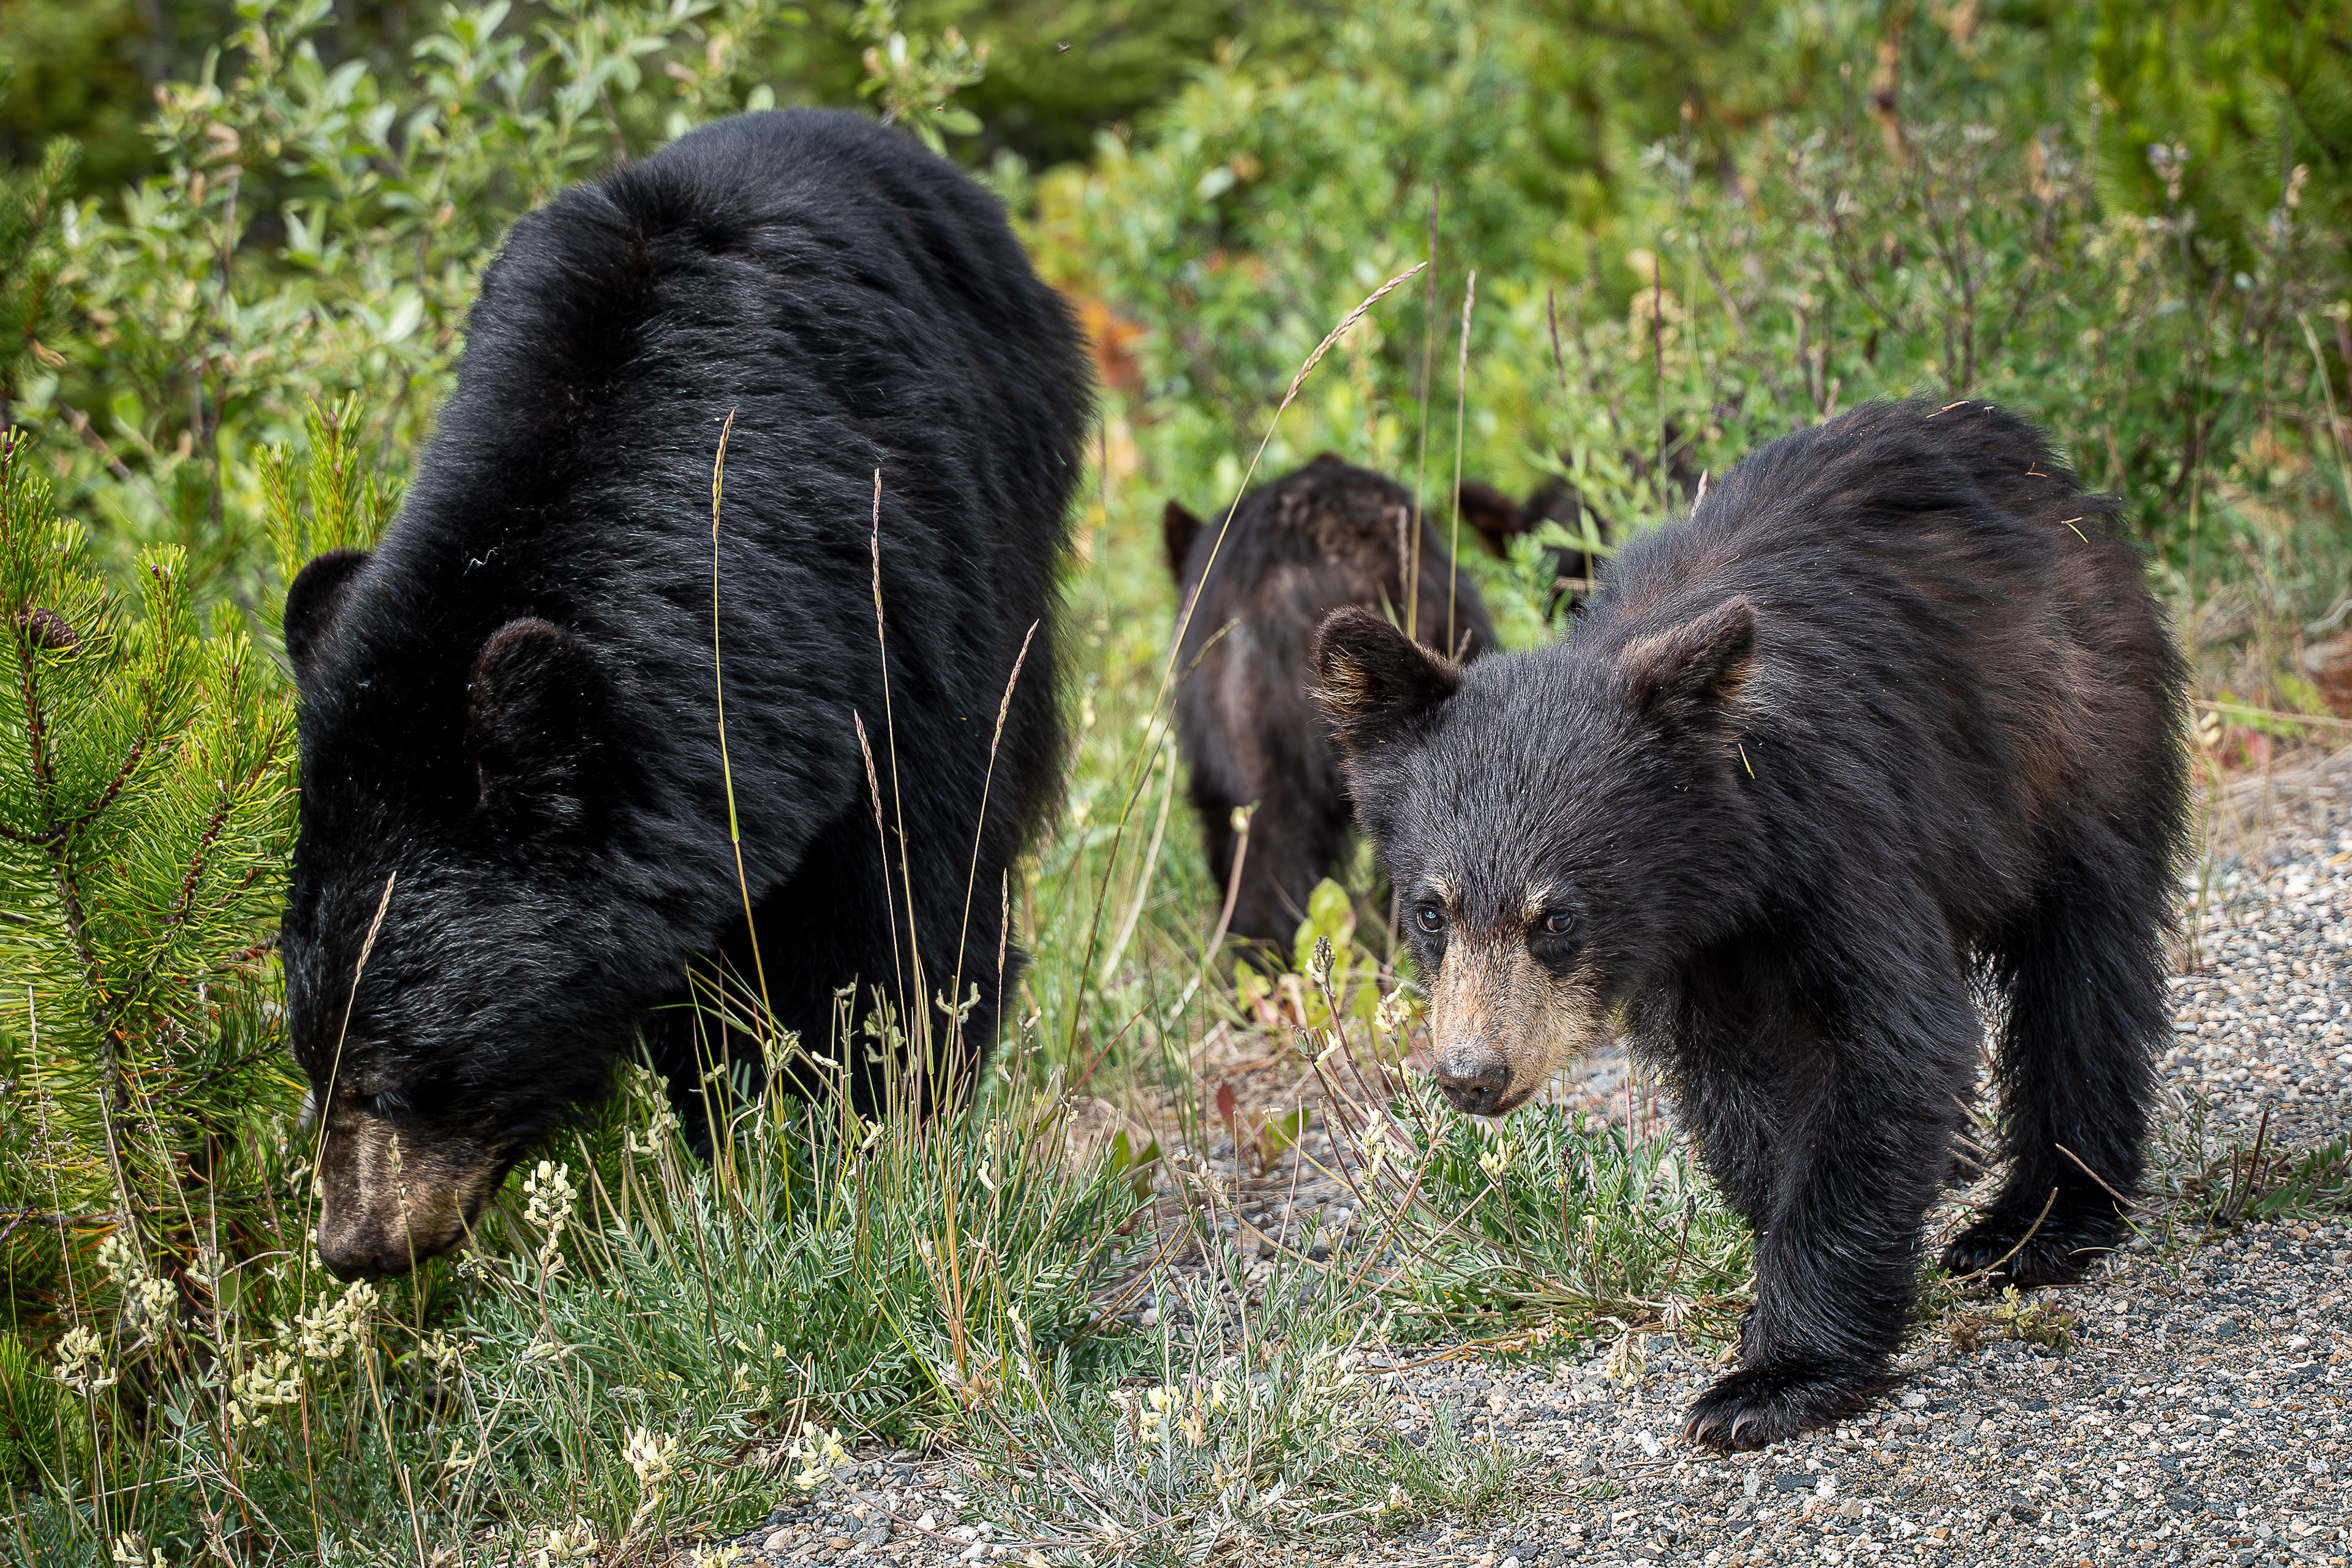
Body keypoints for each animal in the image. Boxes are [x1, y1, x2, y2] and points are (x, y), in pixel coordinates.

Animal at [279, 110, 1092, 1281]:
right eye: (310, 1055)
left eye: (400, 1072)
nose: (354, 1245)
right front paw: (746, 1146)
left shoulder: (896, 611)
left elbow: (913, 914)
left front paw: (882, 1136)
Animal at [1313, 400, 2186, 1449]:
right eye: (1430, 910)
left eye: (1556, 916)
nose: (1473, 1076)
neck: (1726, 873)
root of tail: (2037, 463)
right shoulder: (1696, 953)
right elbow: (1739, 1095)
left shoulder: (1843, 842)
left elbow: (1893, 1048)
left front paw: (1776, 1377)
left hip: (2078, 741)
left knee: (2083, 973)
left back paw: (2040, 1226)